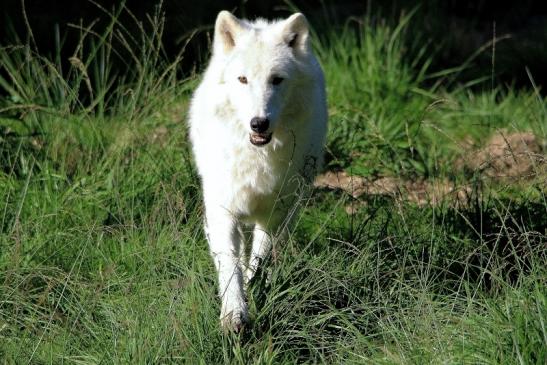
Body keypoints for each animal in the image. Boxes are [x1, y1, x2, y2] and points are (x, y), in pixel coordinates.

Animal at [188, 10, 328, 330]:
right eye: (243, 79)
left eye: (277, 80)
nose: (258, 123)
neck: (256, 156)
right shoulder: (222, 208)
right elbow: (229, 265)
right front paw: (234, 313)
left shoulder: (274, 213)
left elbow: (260, 258)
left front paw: (256, 289)